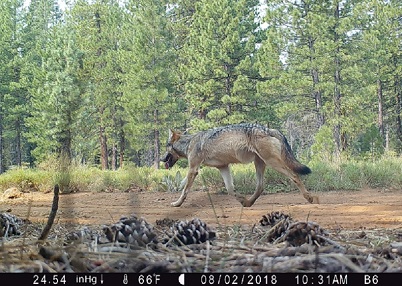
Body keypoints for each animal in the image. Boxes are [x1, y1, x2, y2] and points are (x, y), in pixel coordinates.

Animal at [159, 124, 318, 207]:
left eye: (166, 147)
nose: (161, 159)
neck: (189, 143)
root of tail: (268, 129)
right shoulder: (223, 167)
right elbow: (230, 190)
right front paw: (241, 199)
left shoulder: (193, 169)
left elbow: (184, 190)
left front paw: (177, 203)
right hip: (260, 164)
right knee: (260, 186)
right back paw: (248, 202)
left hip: (273, 163)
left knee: (294, 176)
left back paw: (310, 198)